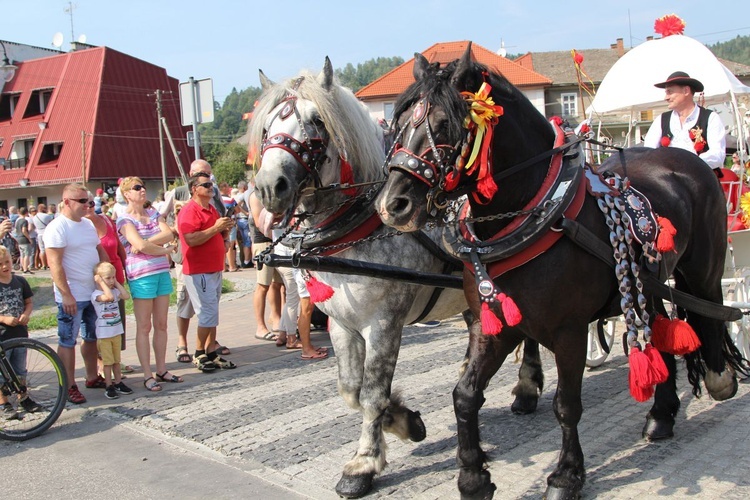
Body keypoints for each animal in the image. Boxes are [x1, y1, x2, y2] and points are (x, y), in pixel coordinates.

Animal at [376, 45, 748, 498]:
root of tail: (684, 158)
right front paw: (473, 476)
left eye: (444, 122)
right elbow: (465, 395)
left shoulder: (569, 332)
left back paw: (719, 378)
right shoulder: (494, 326)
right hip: (648, 282)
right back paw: (662, 414)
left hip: (704, 267)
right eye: (398, 124)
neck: (531, 214)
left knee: (711, 310)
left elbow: (566, 405)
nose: (392, 205)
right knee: (659, 331)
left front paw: (567, 475)